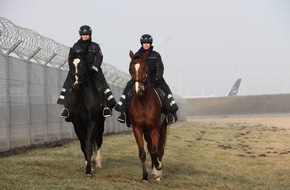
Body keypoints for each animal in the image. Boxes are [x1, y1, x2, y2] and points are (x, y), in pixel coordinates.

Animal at [67, 49, 105, 177]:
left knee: (98, 141)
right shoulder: (77, 124)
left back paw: (97, 162)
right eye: (70, 65)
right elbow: (84, 146)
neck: (82, 97)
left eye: (82, 65)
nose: (76, 84)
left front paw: (89, 170)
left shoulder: (92, 122)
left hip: (100, 124)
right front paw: (88, 165)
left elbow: (89, 146)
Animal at [129, 50, 168, 183]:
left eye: (144, 68)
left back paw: (158, 173)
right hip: (146, 133)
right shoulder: (137, 129)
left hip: (162, 128)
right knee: (150, 148)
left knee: (159, 149)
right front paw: (145, 176)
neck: (143, 102)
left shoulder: (154, 128)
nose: (139, 89)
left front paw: (159, 167)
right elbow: (143, 153)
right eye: (131, 69)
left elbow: (156, 151)